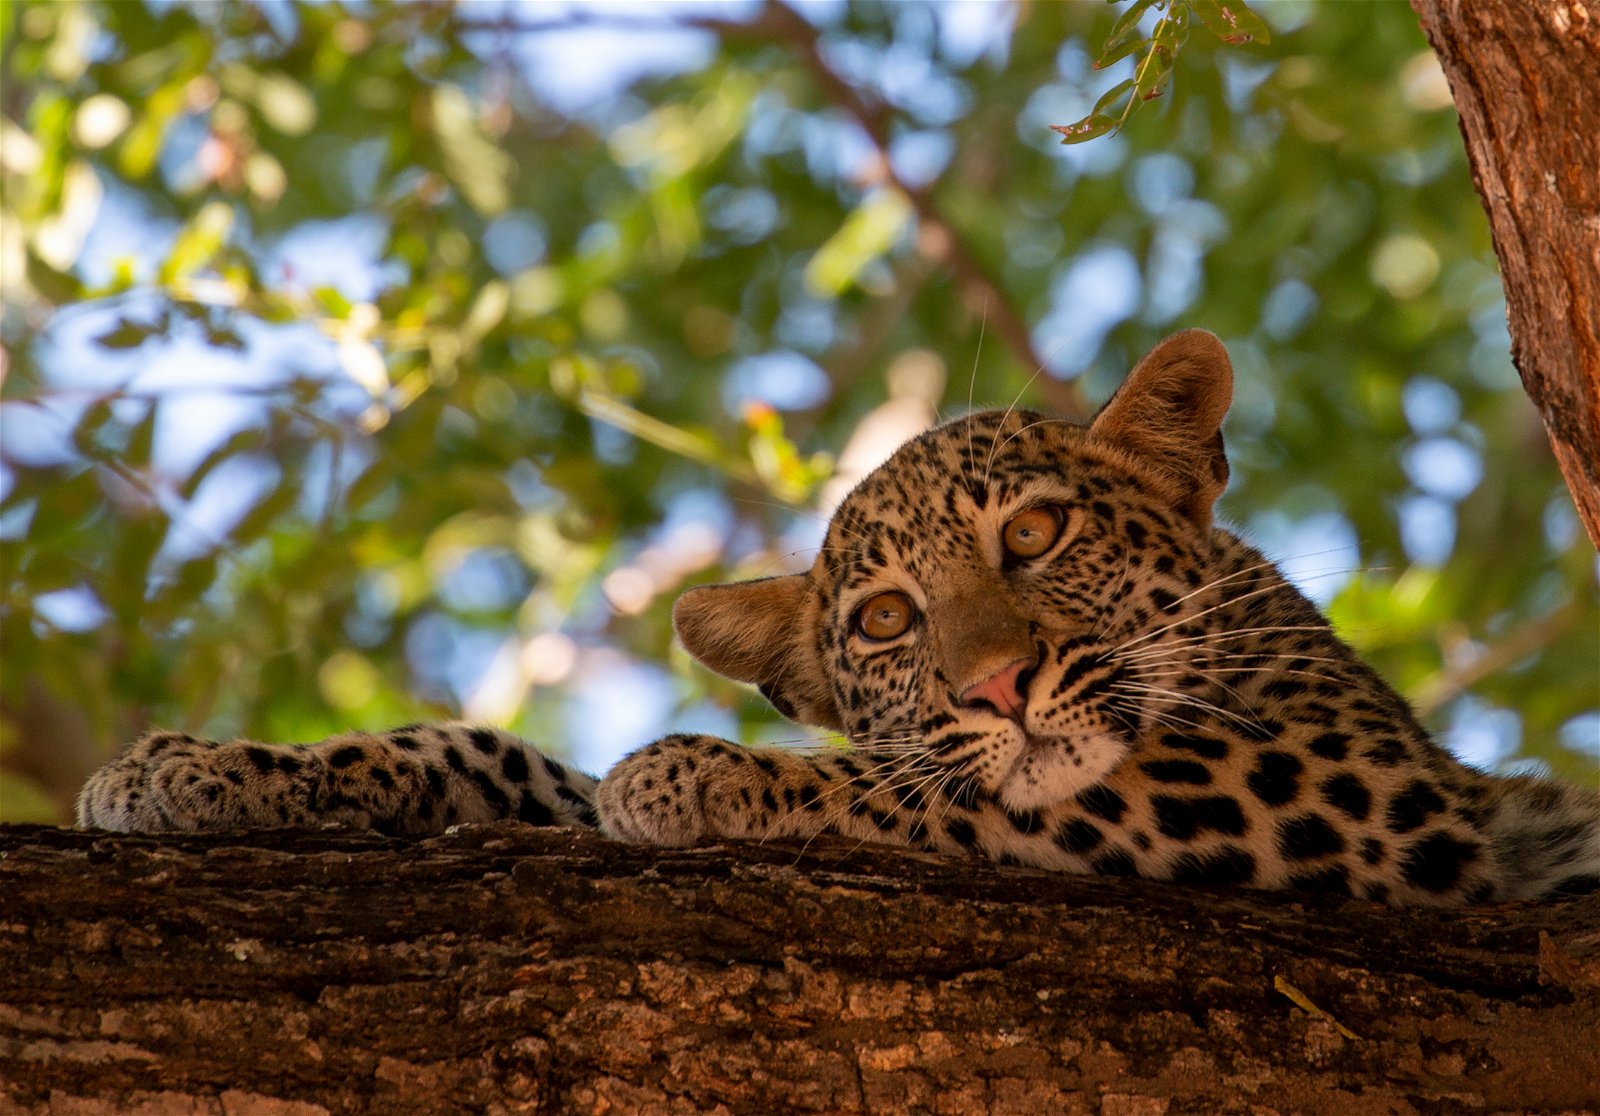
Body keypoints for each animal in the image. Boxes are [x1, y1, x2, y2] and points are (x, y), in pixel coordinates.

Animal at [76, 330, 1600, 906]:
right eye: (880, 621)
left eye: (1033, 534)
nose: (997, 688)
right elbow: (500, 760)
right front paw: (195, 771)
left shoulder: (1371, 790)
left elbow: (944, 790)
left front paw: (693, 772)